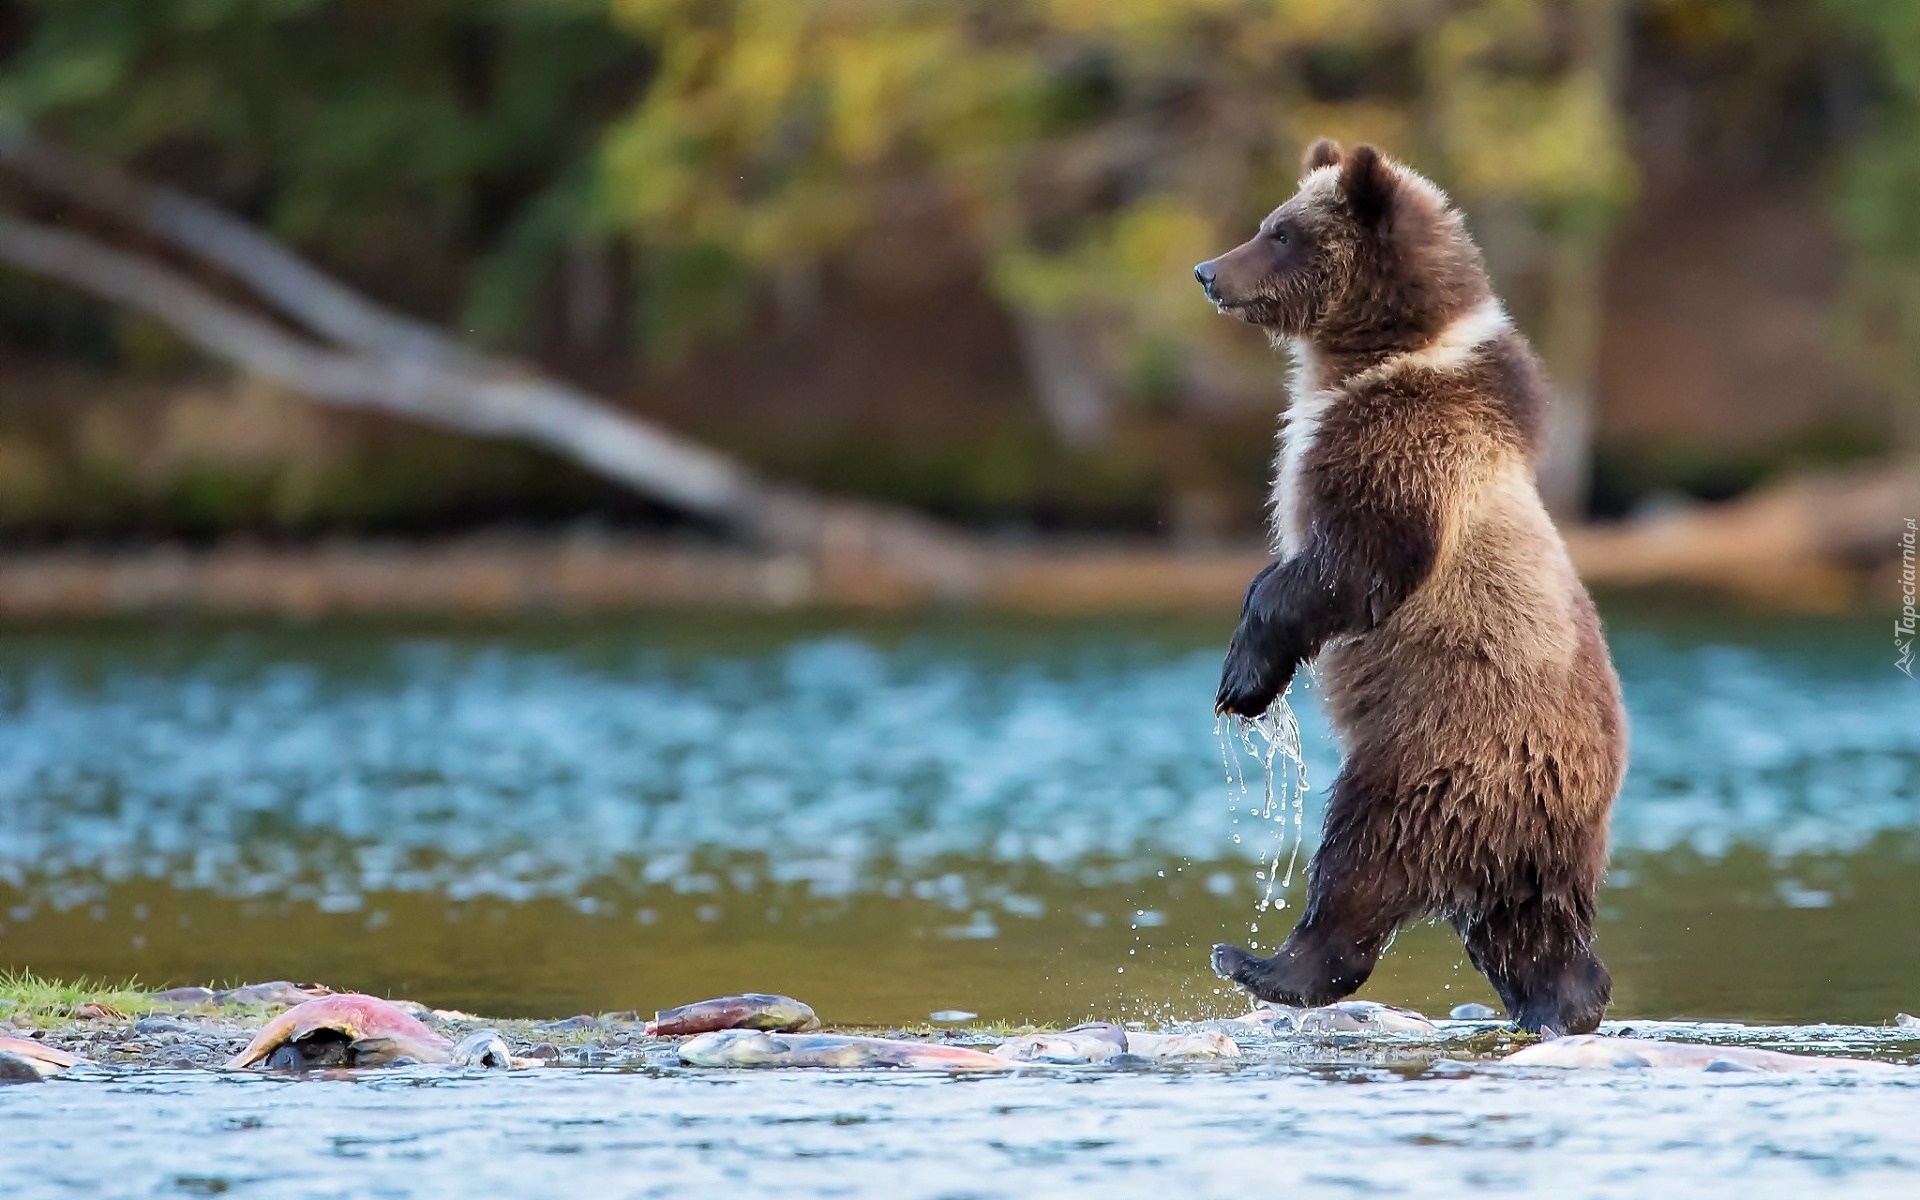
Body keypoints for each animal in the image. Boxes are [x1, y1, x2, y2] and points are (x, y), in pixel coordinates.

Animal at [1198, 140, 1620, 1036]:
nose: (1209, 271)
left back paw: (1261, 964)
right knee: (1534, 934)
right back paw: (1561, 1007)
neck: (1376, 360)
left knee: (1361, 861)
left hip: (1435, 751)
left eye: (1279, 232)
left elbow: (1350, 566)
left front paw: (1243, 679)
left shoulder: (1405, 451)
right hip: (1536, 849)